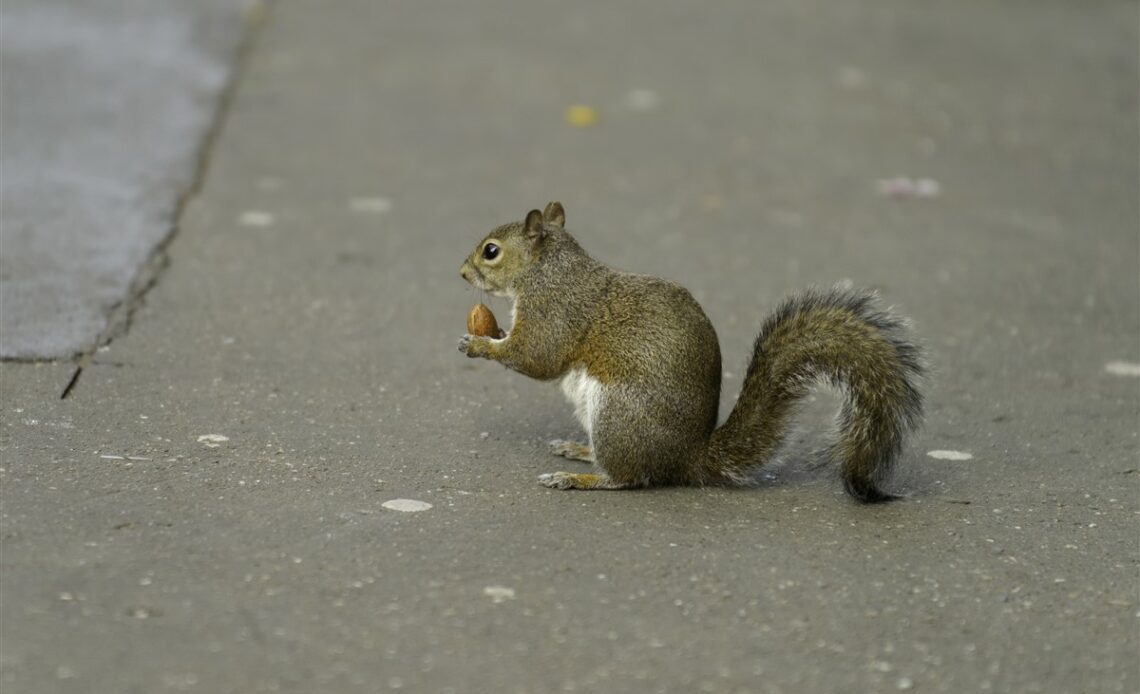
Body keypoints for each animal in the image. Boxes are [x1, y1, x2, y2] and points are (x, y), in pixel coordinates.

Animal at [458, 202, 921, 501]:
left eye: (491, 251)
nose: (461, 273)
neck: (548, 271)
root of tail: (688, 458)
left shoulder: (555, 312)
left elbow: (536, 357)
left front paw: (479, 343)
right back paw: (580, 451)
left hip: (618, 414)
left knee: (628, 478)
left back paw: (575, 479)